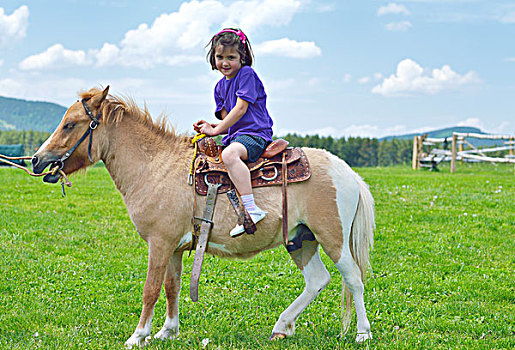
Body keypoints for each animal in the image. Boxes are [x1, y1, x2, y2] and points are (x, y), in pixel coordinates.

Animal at [30, 87, 374, 348]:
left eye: (70, 124)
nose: (36, 160)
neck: (155, 166)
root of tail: (347, 172)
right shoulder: (175, 247)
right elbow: (172, 287)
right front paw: (167, 331)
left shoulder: (160, 243)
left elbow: (151, 289)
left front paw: (138, 336)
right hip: (300, 239)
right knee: (317, 280)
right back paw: (282, 326)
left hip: (333, 238)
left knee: (354, 279)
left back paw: (362, 333)